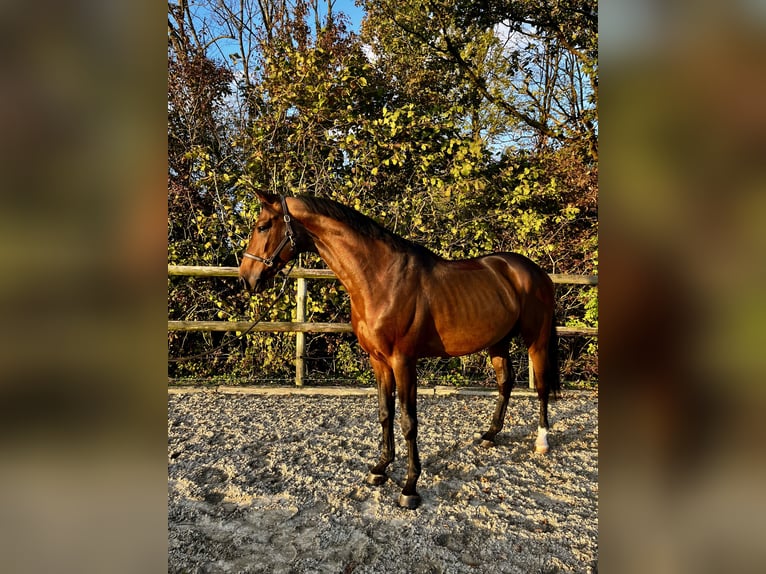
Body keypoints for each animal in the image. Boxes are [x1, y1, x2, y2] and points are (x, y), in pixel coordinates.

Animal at [239, 192, 560, 509]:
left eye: (263, 227)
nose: (246, 278)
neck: (381, 278)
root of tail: (535, 272)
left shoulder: (403, 361)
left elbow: (408, 421)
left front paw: (409, 487)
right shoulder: (378, 361)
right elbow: (385, 413)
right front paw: (380, 468)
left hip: (537, 339)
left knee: (542, 386)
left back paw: (541, 441)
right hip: (498, 341)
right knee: (505, 382)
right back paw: (490, 435)